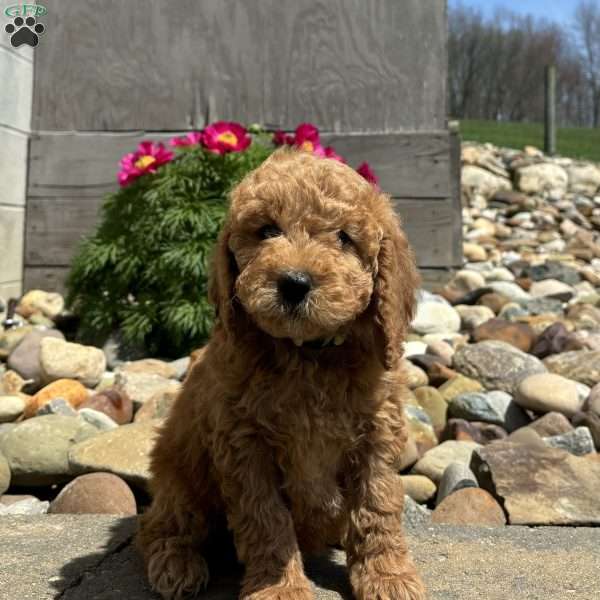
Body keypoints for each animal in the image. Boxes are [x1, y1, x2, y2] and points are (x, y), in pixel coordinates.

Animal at [137, 146, 426, 600]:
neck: (307, 354)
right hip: (180, 477)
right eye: (267, 230)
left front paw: (389, 576)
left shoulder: (376, 439)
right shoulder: (245, 446)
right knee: (158, 526)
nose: (293, 283)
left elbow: (377, 508)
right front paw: (279, 588)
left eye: (344, 238)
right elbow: (266, 520)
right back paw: (176, 563)